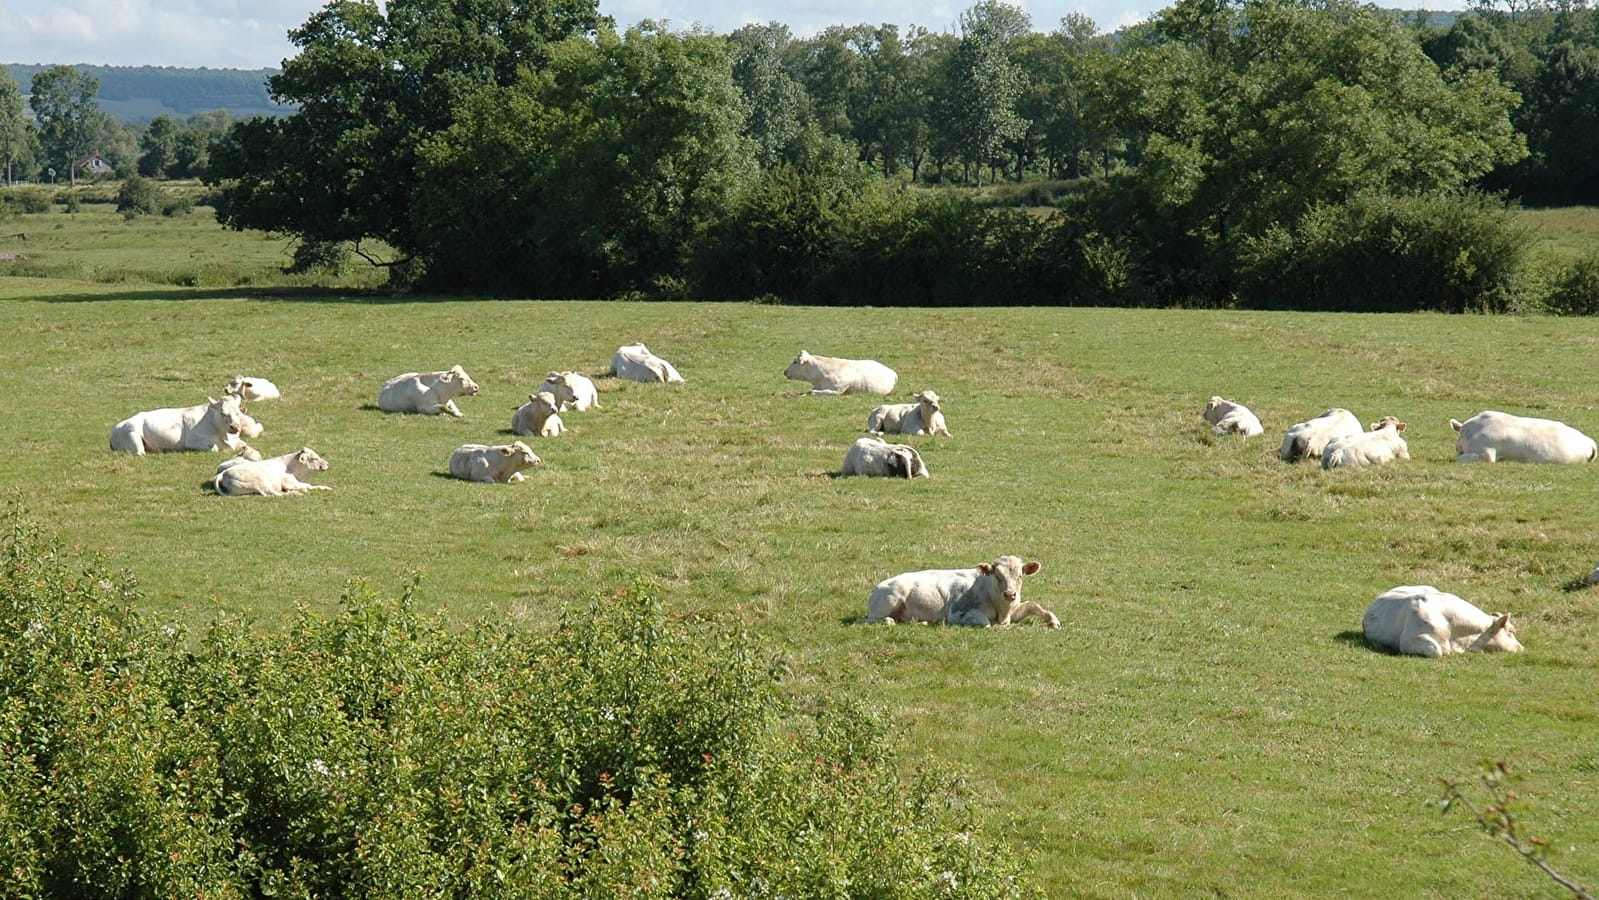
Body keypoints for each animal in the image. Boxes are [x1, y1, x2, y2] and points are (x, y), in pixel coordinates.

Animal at [110, 398, 246, 457]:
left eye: (238, 413)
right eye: (223, 413)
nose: (235, 427)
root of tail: (117, 427)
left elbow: (245, 445)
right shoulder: (194, 441)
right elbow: (214, 448)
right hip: (133, 436)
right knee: (140, 453)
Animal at [869, 556, 1055, 626]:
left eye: (1020, 576)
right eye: (997, 576)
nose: (1010, 594)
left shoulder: (1014, 610)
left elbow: (1033, 605)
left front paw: (1053, 621)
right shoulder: (958, 613)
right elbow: (986, 623)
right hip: (890, 600)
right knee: (874, 619)